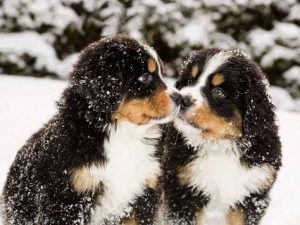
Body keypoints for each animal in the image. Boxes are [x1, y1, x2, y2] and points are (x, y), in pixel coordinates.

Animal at [2, 35, 180, 225]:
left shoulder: (144, 193)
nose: (180, 98)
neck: (123, 134)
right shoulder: (70, 198)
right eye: (145, 77)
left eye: (161, 73)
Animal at [162, 48, 282, 225]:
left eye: (218, 92)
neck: (219, 145)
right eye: (190, 80)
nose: (182, 99)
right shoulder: (183, 190)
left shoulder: (252, 194)